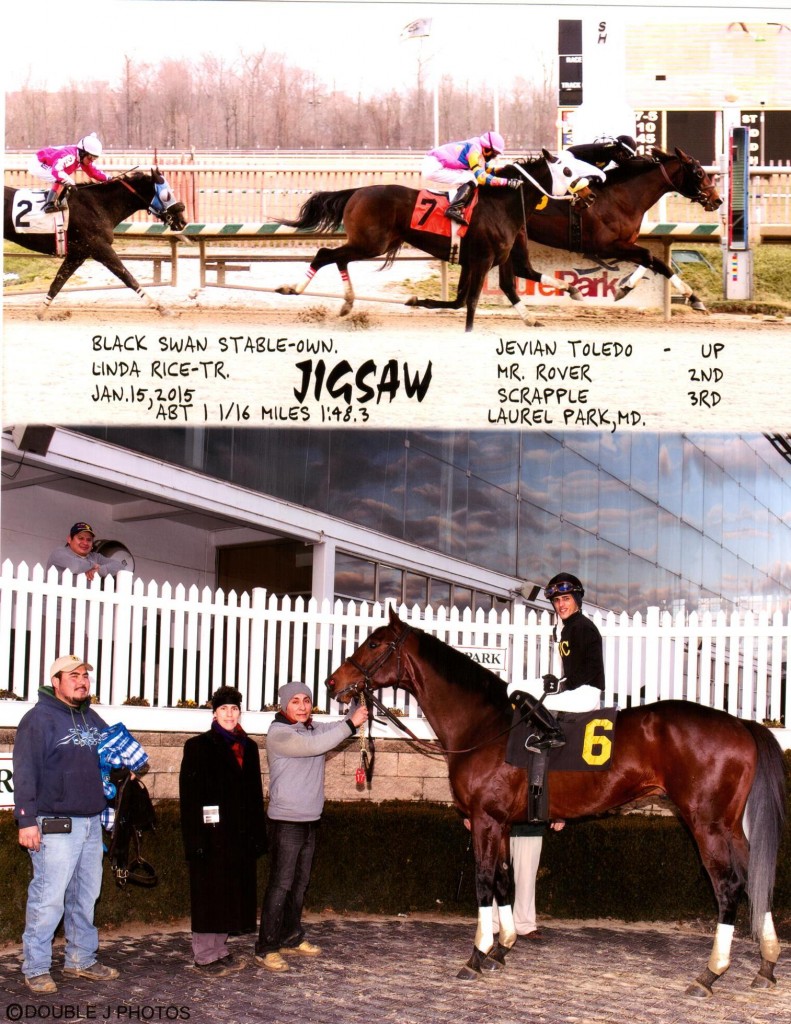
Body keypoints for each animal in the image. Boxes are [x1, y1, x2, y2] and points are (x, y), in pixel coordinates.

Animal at [4, 169, 187, 319]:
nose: (182, 221)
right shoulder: (100, 248)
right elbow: (128, 277)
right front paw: (161, 308)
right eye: (167, 195)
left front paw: (41, 312)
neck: (97, 205)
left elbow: (58, 283)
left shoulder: (78, 254)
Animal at [274, 150, 600, 332]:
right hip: (371, 244)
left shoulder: (495, 259)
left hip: (369, 244)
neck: (503, 203)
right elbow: (471, 300)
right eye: (567, 170)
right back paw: (294, 288)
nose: (590, 194)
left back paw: (346, 304)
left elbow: (504, 288)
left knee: (338, 257)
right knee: (324, 253)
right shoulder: (482, 260)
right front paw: (468, 330)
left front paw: (566, 297)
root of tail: (357, 191)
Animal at [326, 608, 786, 997]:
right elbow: (503, 882)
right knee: (755, 877)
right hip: (729, 825)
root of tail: (740, 723)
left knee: (729, 886)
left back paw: (710, 973)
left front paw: (477, 954)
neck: (485, 725)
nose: (333, 683)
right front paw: (503, 947)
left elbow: (483, 882)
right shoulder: (502, 823)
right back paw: (766, 965)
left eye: (374, 643)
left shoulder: (485, 820)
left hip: (706, 823)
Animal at [411, 148, 722, 316]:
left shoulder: (625, 243)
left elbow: (650, 261)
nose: (717, 199)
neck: (622, 196)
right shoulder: (605, 245)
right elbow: (653, 259)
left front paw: (622, 289)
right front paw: (694, 298)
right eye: (697, 172)